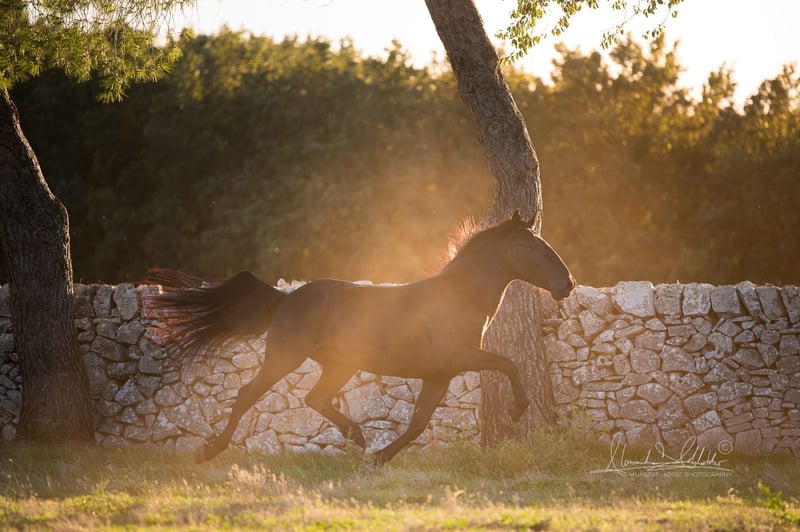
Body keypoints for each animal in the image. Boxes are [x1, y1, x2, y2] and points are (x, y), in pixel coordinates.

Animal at [147, 210, 575, 465]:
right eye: (531, 246)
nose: (567, 284)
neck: (460, 297)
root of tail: (285, 297)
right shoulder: (458, 356)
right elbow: (508, 362)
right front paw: (518, 409)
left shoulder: (439, 375)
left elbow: (418, 423)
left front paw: (380, 457)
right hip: (285, 357)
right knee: (247, 394)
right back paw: (210, 450)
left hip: (339, 365)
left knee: (314, 398)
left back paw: (356, 436)